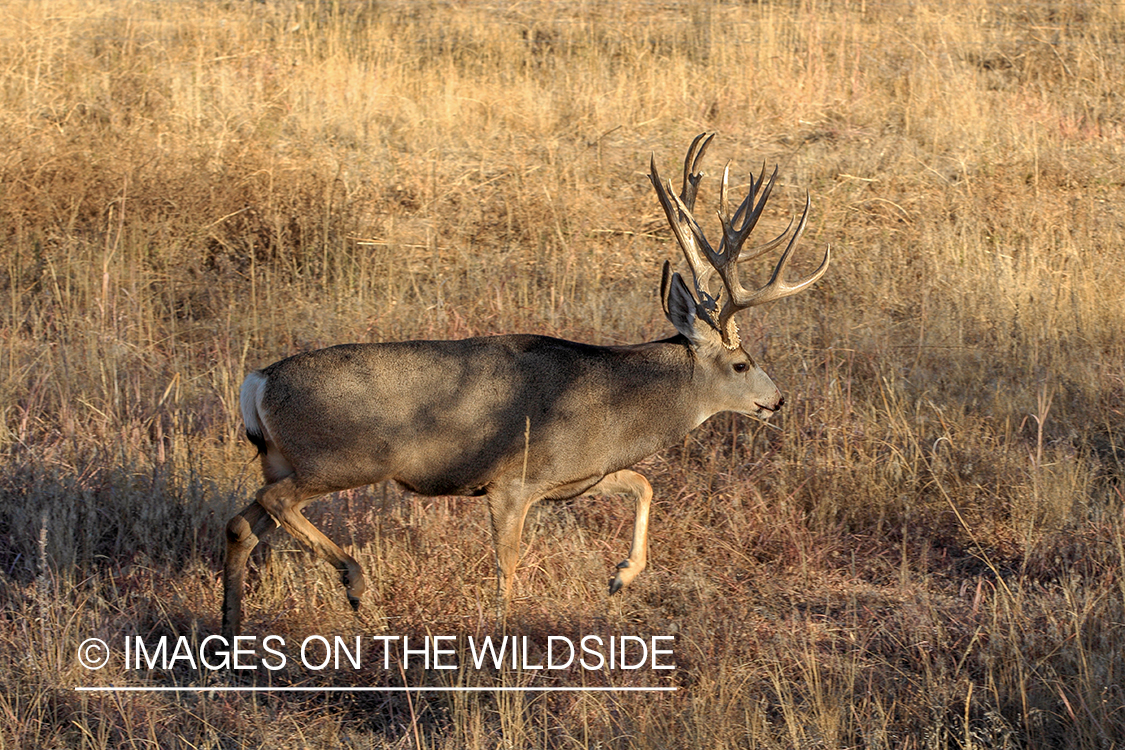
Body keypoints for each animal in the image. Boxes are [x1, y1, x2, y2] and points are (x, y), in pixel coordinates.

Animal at [221, 134, 828, 638]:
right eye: (743, 364)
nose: (777, 401)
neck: (612, 403)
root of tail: (258, 381)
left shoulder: (575, 477)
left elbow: (642, 482)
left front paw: (619, 577)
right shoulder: (512, 481)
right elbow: (506, 565)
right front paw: (501, 634)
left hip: (281, 458)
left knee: (240, 523)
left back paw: (232, 628)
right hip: (340, 458)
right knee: (274, 502)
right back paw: (355, 582)